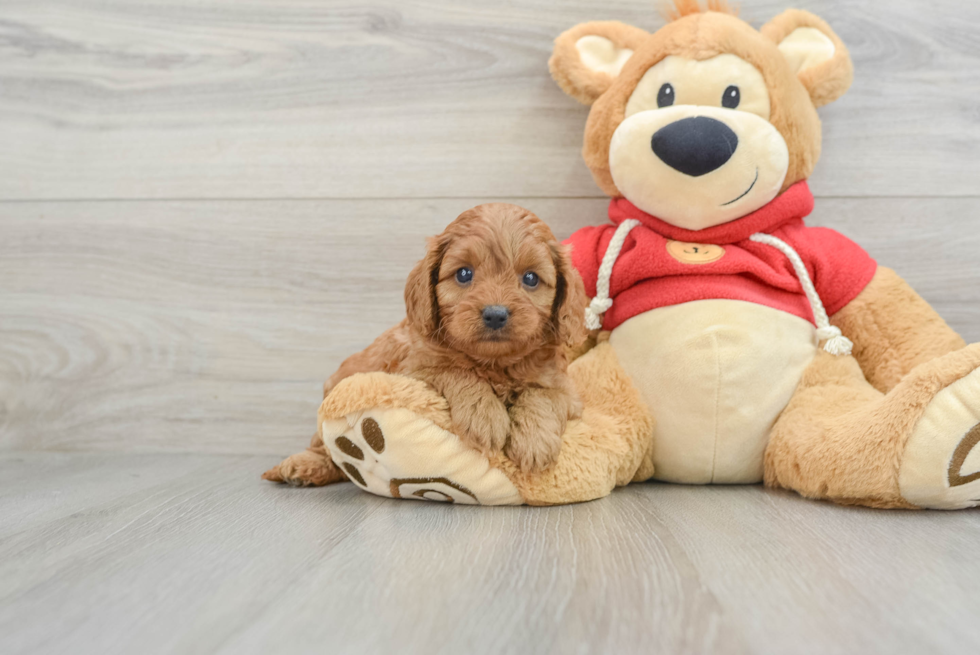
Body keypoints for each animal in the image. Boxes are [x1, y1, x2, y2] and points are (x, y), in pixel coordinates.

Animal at [324, 204, 588, 472]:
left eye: (531, 278)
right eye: (463, 274)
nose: (495, 314)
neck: (494, 363)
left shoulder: (567, 390)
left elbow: (545, 395)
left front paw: (535, 441)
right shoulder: (413, 372)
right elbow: (456, 371)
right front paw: (484, 416)